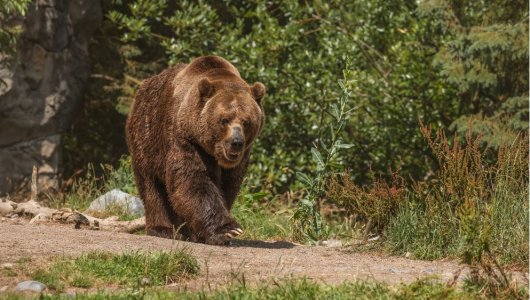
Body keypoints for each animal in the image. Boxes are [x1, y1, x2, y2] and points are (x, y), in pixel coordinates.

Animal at [124, 55, 264, 245]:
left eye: (246, 121)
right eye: (224, 120)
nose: (236, 142)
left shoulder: (238, 161)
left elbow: (228, 186)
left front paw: (205, 233)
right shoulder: (184, 139)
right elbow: (193, 181)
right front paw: (228, 230)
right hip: (146, 137)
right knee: (151, 185)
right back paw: (162, 229)